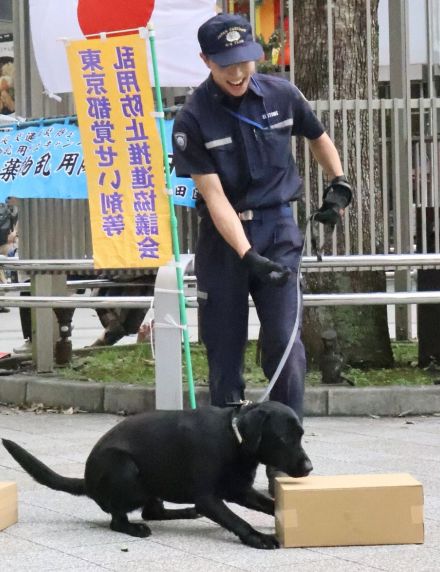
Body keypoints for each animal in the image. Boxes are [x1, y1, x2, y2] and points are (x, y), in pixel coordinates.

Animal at [3, 400, 312, 548]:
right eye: (284, 438)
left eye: (301, 435)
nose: (309, 468)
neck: (234, 438)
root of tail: (87, 481)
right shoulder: (208, 498)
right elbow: (237, 521)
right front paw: (258, 538)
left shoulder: (241, 491)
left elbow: (269, 504)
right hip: (124, 467)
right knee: (119, 519)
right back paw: (133, 528)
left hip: (154, 483)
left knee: (152, 511)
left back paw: (184, 512)